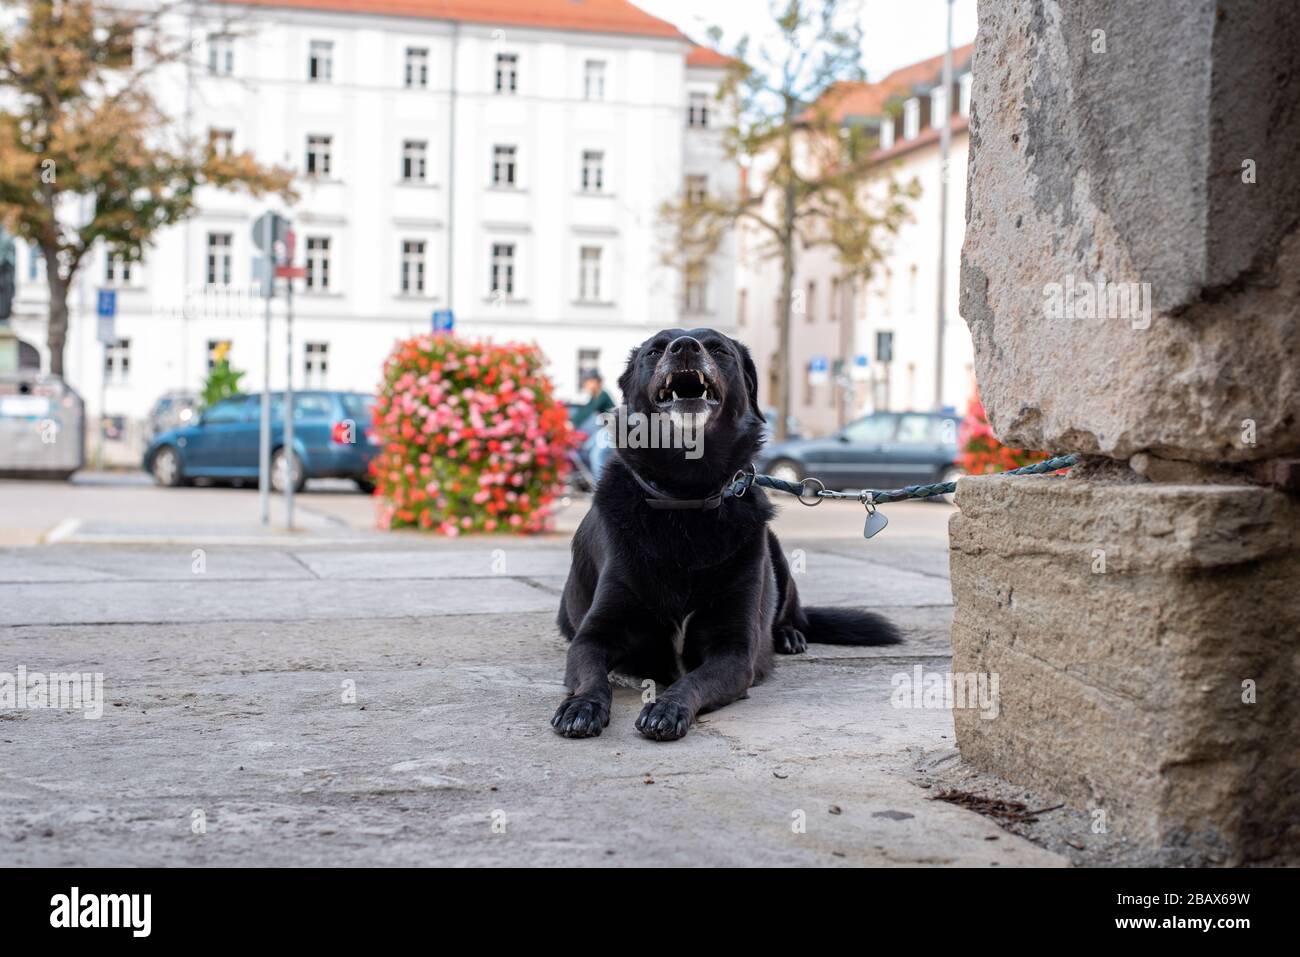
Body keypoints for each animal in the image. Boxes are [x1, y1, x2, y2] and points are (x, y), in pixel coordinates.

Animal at [553, 328, 899, 738]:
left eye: (718, 348)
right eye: (655, 350)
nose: (685, 346)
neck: (686, 497)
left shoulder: (734, 651)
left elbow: (693, 680)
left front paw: (667, 707)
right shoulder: (593, 636)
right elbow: (591, 675)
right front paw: (582, 705)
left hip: (775, 554)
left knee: (794, 613)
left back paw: (788, 635)